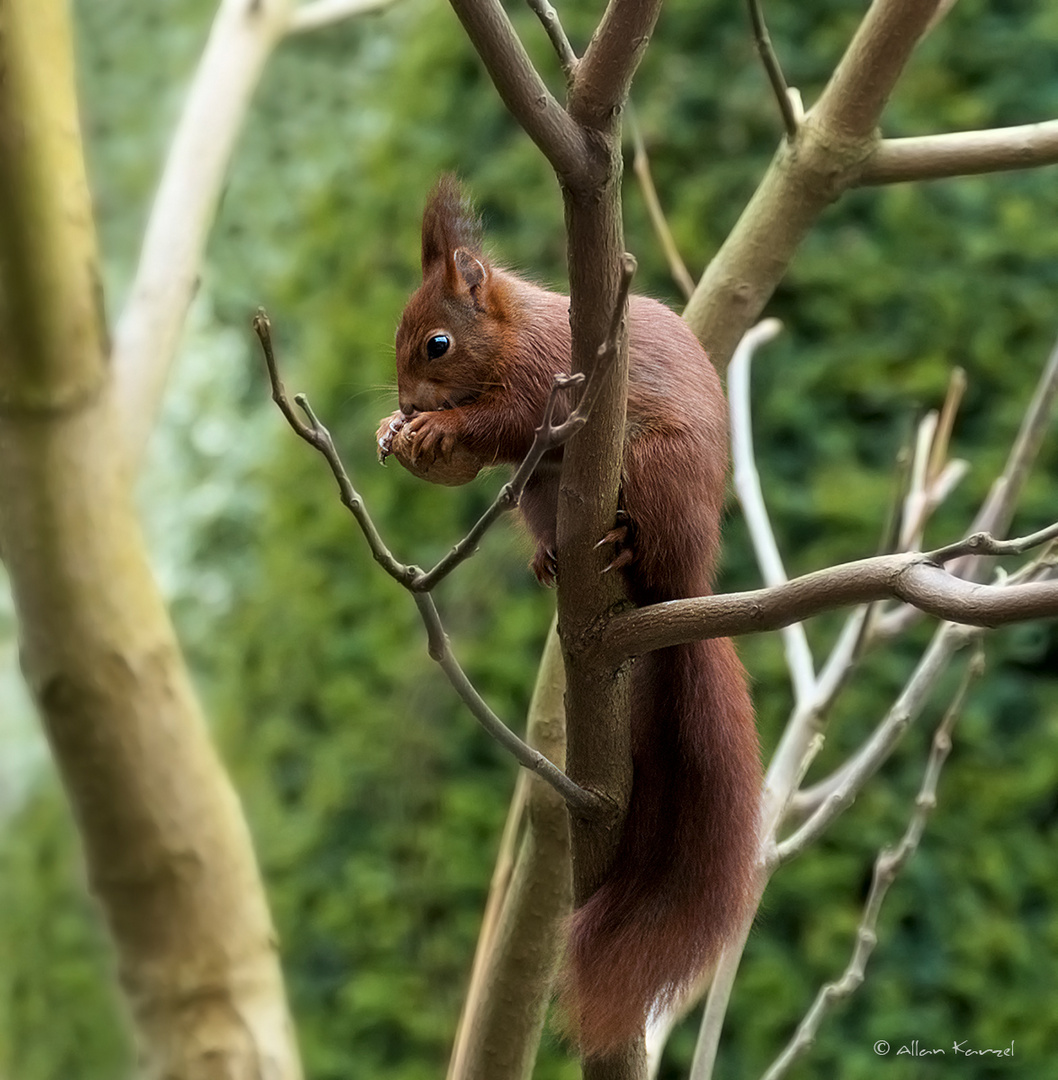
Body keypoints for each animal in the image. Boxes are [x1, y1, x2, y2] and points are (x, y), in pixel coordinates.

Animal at [377, 177, 760, 1054]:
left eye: (437, 344)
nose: (408, 401)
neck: (515, 332)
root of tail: (685, 582)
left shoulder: (548, 386)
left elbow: (504, 423)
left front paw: (438, 424)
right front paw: (392, 429)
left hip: (654, 467)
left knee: (646, 538)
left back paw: (621, 545)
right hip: (546, 497)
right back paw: (551, 560)